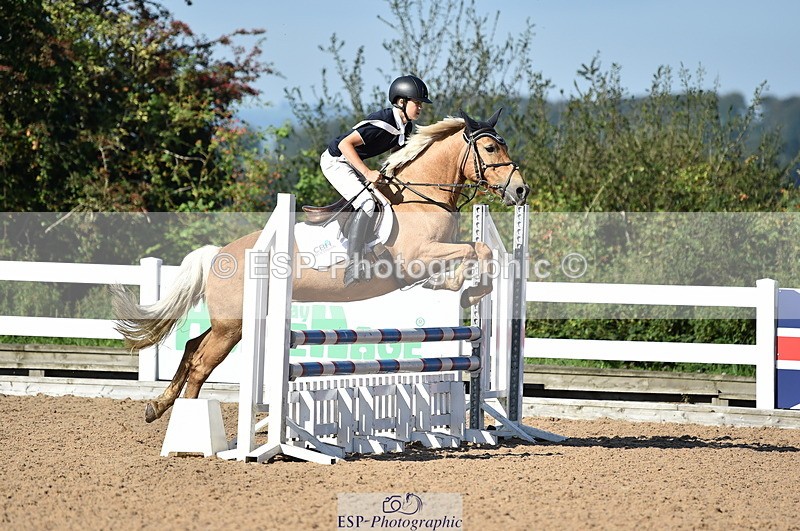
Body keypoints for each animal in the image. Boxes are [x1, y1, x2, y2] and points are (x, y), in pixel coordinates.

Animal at [111, 108, 529, 423]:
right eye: (490, 147)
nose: (521, 190)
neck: (422, 197)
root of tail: (218, 254)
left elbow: (479, 251)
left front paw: (462, 289)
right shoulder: (418, 257)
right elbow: (477, 252)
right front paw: (465, 289)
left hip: (234, 322)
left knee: (192, 347)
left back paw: (158, 406)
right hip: (234, 324)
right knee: (200, 362)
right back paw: (187, 422)